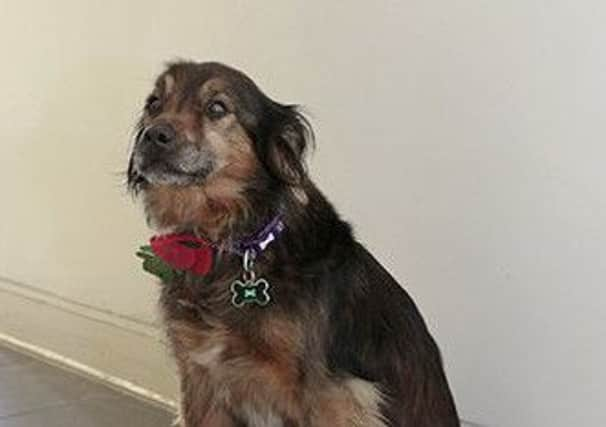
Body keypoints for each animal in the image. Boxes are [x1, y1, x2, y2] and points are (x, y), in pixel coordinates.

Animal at [128, 61, 460, 427]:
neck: (228, 242)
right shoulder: (201, 378)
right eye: (154, 104)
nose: (153, 135)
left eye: (217, 108)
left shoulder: (336, 395)